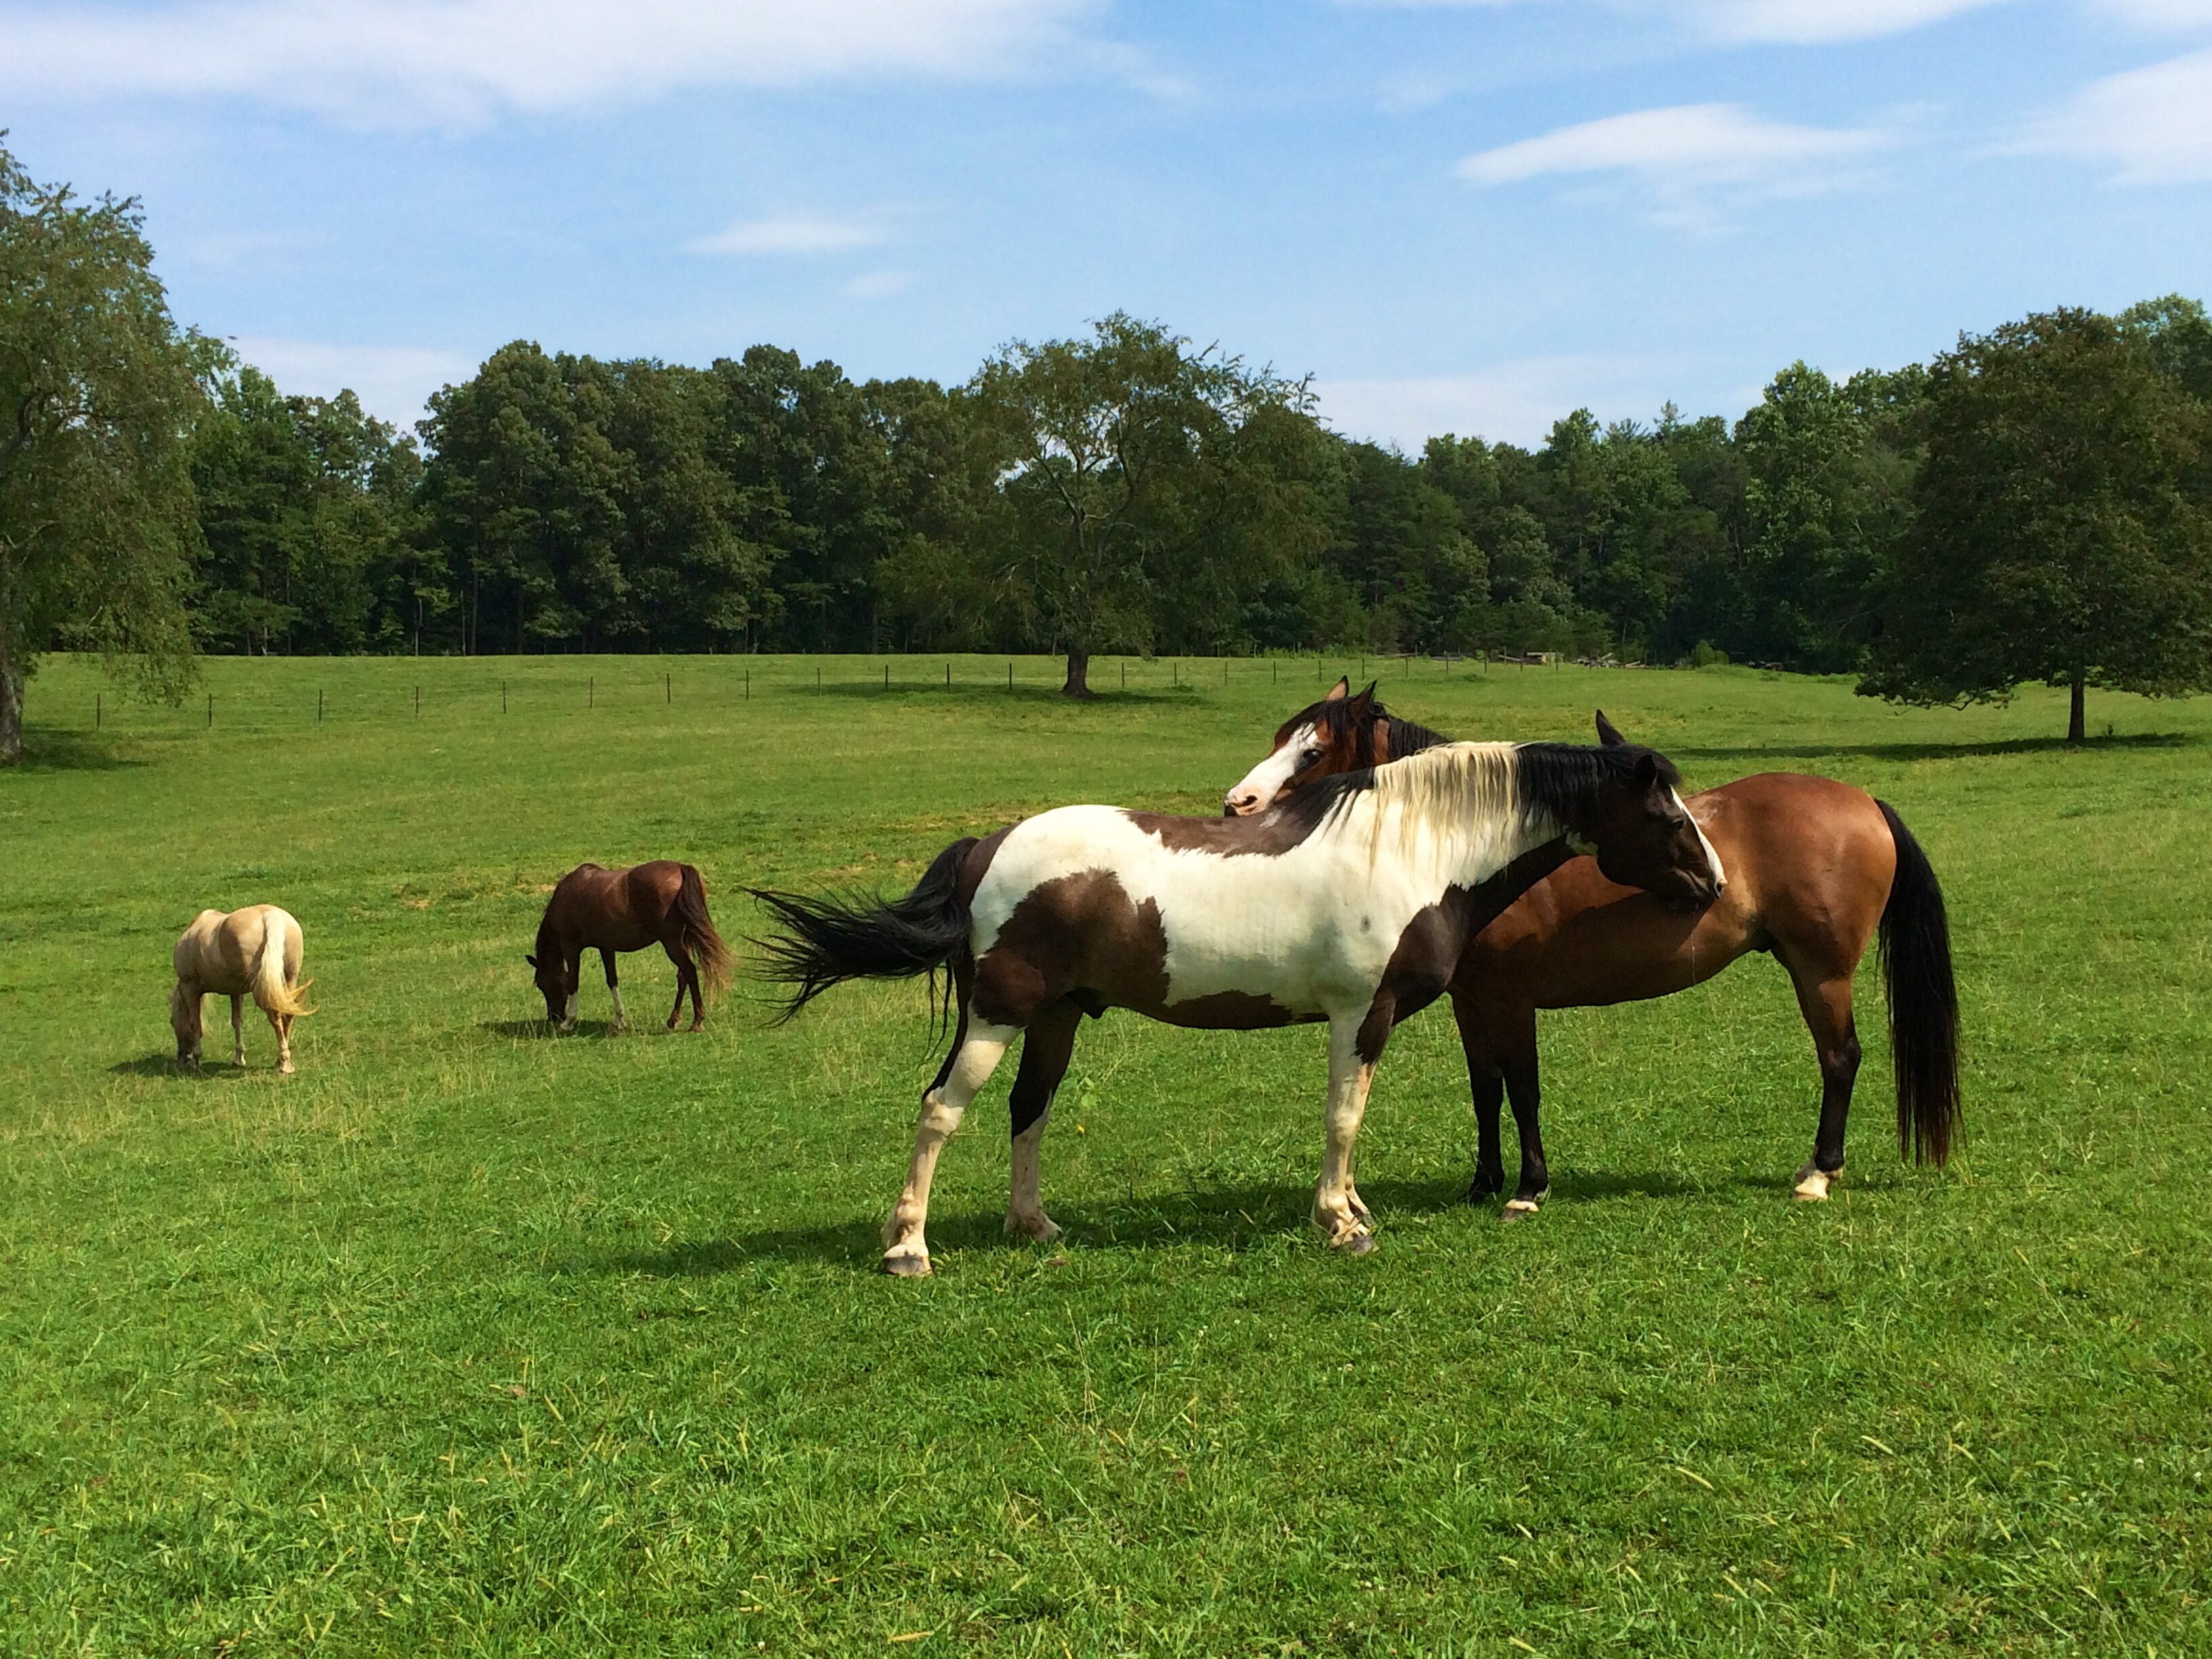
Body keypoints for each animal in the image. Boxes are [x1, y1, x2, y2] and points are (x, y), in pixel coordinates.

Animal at [172, 905, 313, 1074]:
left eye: (172, 1022)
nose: (182, 1057)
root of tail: (270, 915)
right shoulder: (236, 992)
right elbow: (237, 1021)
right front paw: (239, 1059)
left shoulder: (190, 988)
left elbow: (196, 1024)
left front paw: (196, 1060)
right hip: (289, 980)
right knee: (287, 1015)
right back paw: (280, 1061)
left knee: (276, 1016)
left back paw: (285, 1064)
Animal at [526, 862, 732, 1033]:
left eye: (542, 984)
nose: (553, 1016)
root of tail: (680, 868)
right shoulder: (606, 947)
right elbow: (612, 980)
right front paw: (619, 1020)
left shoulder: (571, 948)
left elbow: (573, 982)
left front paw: (569, 1021)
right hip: (683, 940)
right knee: (683, 976)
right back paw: (673, 1020)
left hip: (672, 942)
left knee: (689, 970)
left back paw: (697, 1021)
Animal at [750, 732, 1723, 1276]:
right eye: (1667, 817)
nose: (1712, 886)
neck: (1412, 848)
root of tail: (987, 846)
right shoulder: (1358, 1015)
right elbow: (1343, 1117)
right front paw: (1341, 1225)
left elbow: (1353, 1117)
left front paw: (1353, 1208)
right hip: (997, 1015)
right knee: (940, 1111)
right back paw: (907, 1249)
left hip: (1056, 1017)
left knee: (1030, 1109)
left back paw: (1033, 1226)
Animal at [1223, 679, 1961, 1213]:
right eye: (1280, 736)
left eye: (1313, 752)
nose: (1239, 804)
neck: (1476, 849)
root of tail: (1864, 800)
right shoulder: (1471, 1002)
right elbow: (1485, 1090)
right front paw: (1482, 1182)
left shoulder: (1511, 999)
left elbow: (1522, 1088)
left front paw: (1528, 1189)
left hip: (1821, 972)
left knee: (1841, 1059)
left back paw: (1818, 1174)